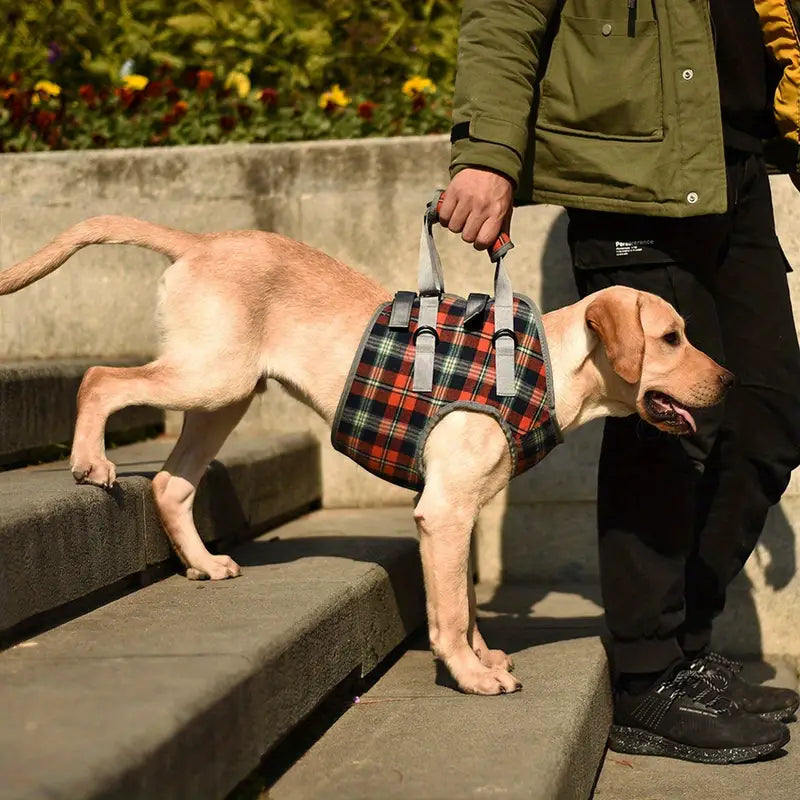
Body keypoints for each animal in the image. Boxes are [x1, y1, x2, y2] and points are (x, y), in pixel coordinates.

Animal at [0, 212, 732, 692]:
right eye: (671, 338)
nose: (730, 381)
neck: (542, 367)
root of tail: (204, 241)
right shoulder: (445, 511)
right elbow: (450, 613)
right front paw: (469, 676)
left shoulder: (458, 514)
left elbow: (464, 605)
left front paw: (481, 657)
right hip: (211, 376)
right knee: (101, 380)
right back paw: (91, 461)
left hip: (224, 396)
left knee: (170, 484)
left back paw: (204, 564)